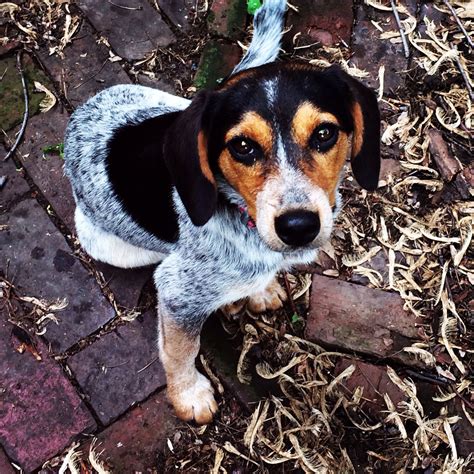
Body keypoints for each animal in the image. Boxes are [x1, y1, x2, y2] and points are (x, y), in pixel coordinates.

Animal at [64, 0, 382, 424]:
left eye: (325, 134)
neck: (244, 219)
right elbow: (182, 350)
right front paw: (188, 396)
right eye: (242, 146)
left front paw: (260, 289)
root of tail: (77, 118)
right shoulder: (177, 292)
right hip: (109, 244)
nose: (298, 227)